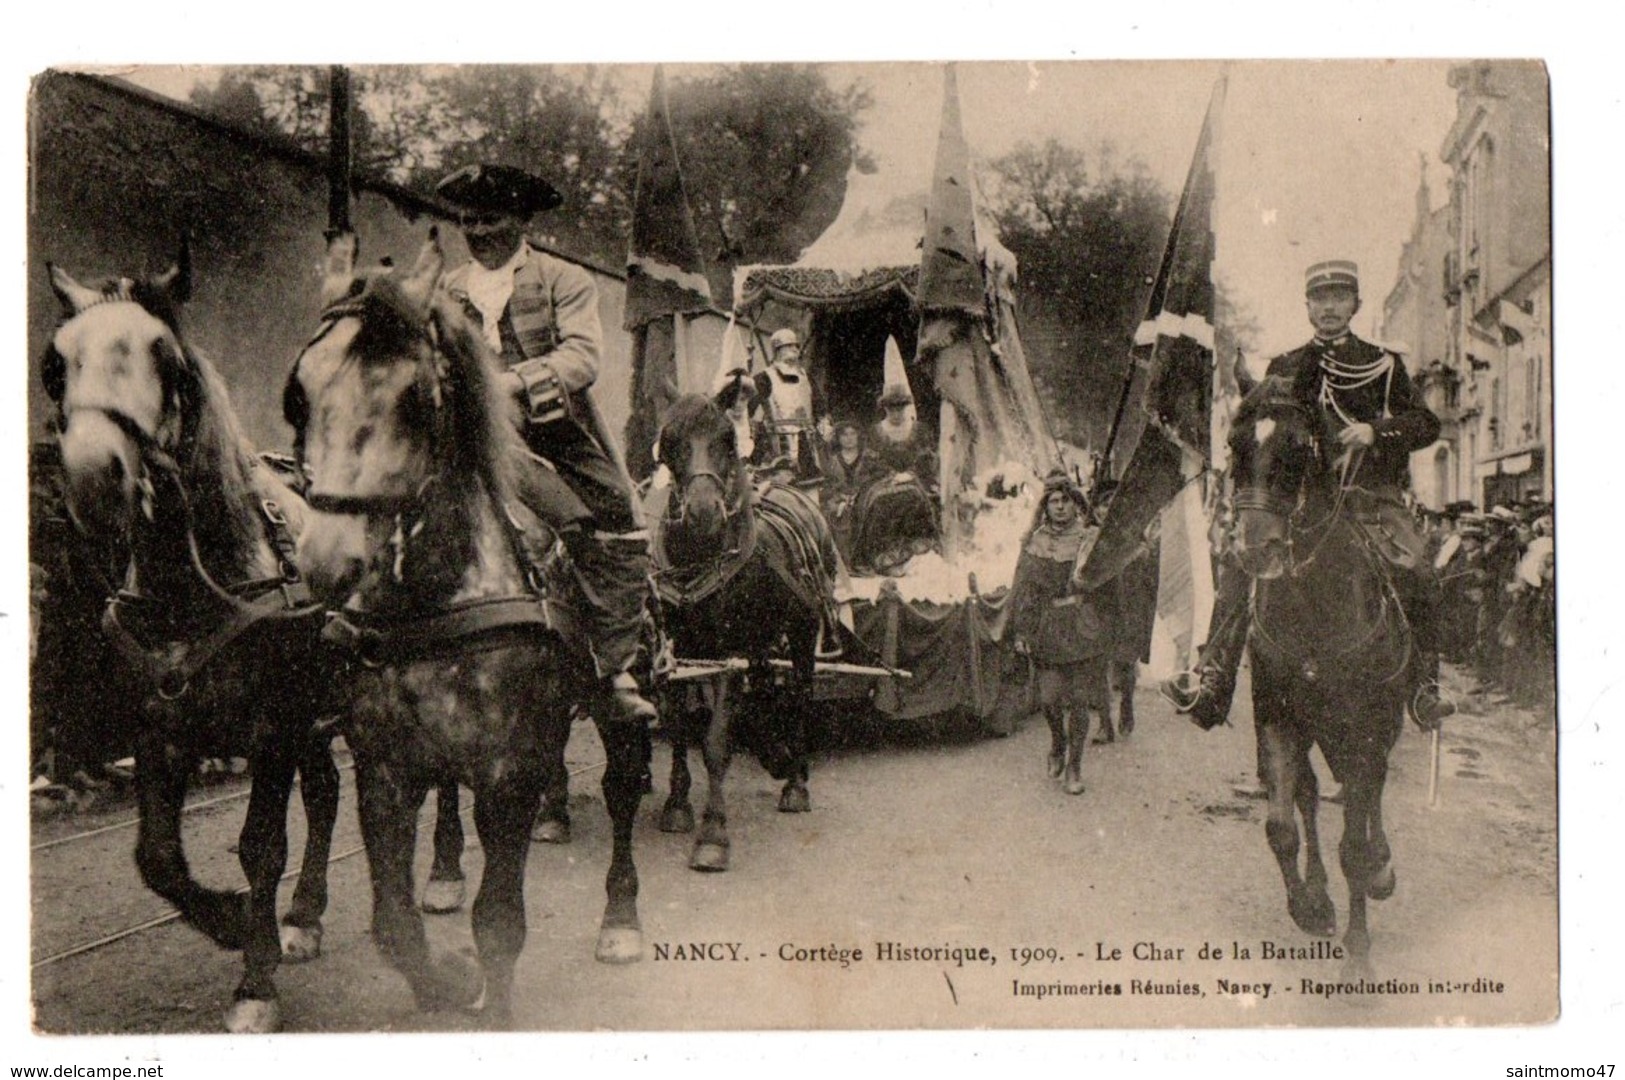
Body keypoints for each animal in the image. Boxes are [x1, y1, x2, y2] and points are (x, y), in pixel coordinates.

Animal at [45, 250, 342, 1026]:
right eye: (57, 363)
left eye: (165, 358)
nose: (92, 476)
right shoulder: (160, 727)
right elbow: (156, 858)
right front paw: (234, 922)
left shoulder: (273, 727)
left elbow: (261, 845)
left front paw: (255, 979)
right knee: (326, 791)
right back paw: (305, 915)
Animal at [289, 232, 643, 1026]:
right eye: (299, 395)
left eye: (418, 399)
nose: (326, 561)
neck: (440, 595)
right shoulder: (384, 771)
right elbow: (393, 923)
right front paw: (443, 983)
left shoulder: (509, 773)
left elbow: (500, 923)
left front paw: (490, 999)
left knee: (624, 785)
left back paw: (621, 918)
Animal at [653, 384, 845, 870]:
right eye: (669, 441)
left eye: (727, 439)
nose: (704, 511)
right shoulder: (679, 653)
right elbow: (679, 724)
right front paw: (677, 803)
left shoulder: (723, 657)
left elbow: (716, 742)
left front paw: (713, 835)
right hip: (758, 639)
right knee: (761, 687)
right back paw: (774, 754)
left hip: (801, 632)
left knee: (799, 695)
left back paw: (795, 781)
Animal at [1228, 375, 1410, 974]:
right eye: (1234, 444)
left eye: (1296, 449)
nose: (1255, 550)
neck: (1313, 602)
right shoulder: (1278, 718)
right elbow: (1281, 827)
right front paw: (1308, 906)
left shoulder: (1365, 728)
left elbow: (1354, 841)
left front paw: (1358, 954)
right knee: (1308, 795)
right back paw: (1319, 887)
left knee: (1370, 792)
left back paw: (1381, 867)